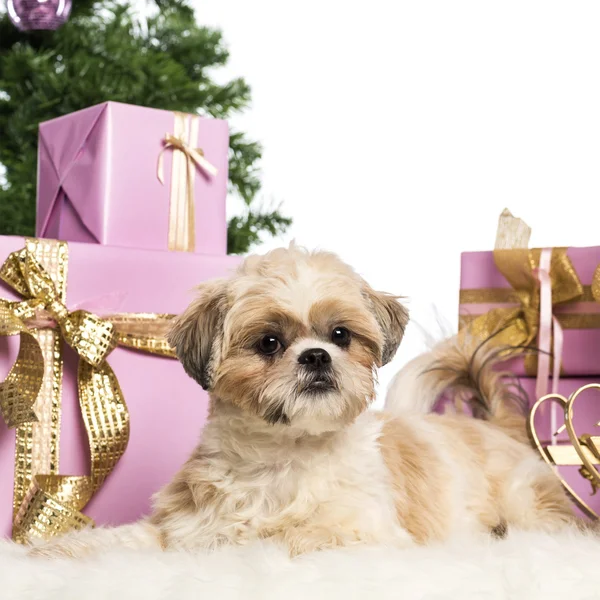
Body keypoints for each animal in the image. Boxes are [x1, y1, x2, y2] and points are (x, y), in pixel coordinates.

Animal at [29, 244, 576, 556]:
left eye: (340, 335)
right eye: (269, 342)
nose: (316, 356)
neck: (283, 458)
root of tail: (494, 425)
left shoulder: (368, 533)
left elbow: (290, 537)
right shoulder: (183, 526)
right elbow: (123, 542)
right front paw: (56, 552)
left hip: (527, 502)